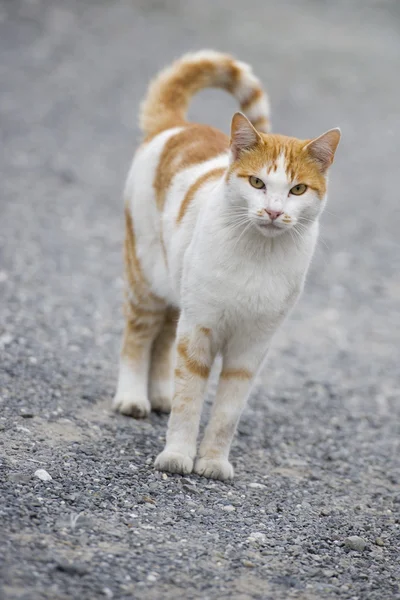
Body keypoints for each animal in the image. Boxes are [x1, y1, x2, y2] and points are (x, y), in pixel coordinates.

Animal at [113, 52, 340, 482]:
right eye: (257, 183)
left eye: (297, 190)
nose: (273, 211)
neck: (258, 256)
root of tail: (176, 126)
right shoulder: (199, 331)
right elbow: (189, 403)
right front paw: (177, 455)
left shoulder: (251, 346)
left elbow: (225, 414)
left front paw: (213, 461)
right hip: (146, 281)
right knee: (138, 337)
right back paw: (133, 398)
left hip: (176, 292)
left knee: (162, 339)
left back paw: (160, 394)